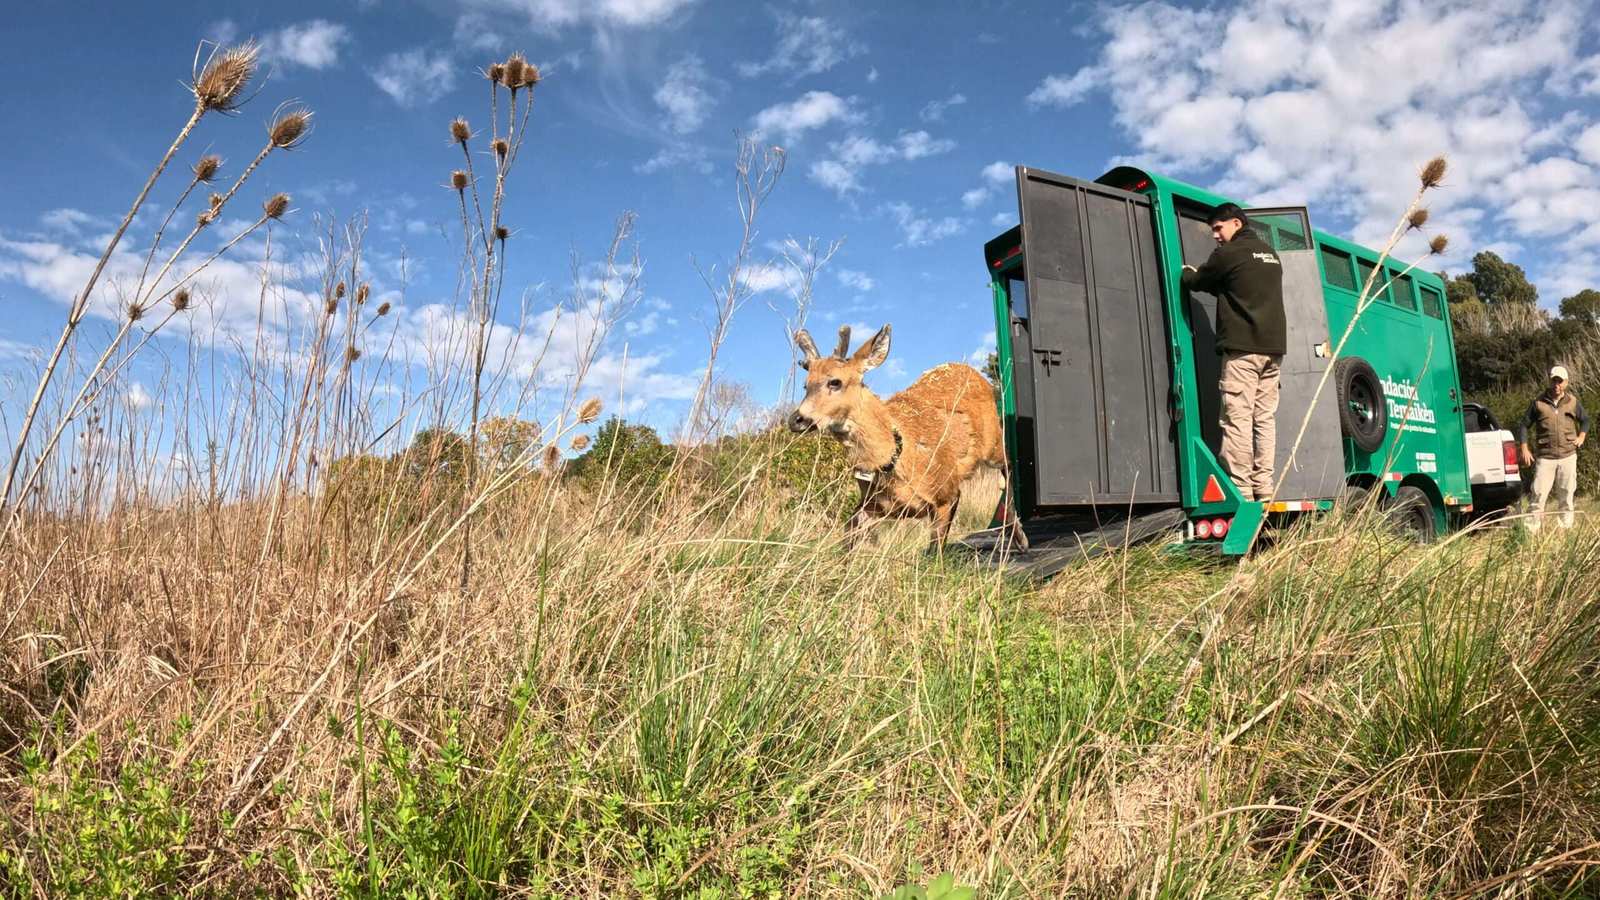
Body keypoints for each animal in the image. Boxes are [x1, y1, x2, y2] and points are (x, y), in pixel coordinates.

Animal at [788, 323, 1028, 552]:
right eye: (805, 385)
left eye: (835, 382)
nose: (796, 419)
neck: (896, 456)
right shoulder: (874, 504)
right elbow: (848, 535)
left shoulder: (946, 492)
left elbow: (935, 553)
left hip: (992, 441)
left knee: (1008, 465)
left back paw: (1020, 539)